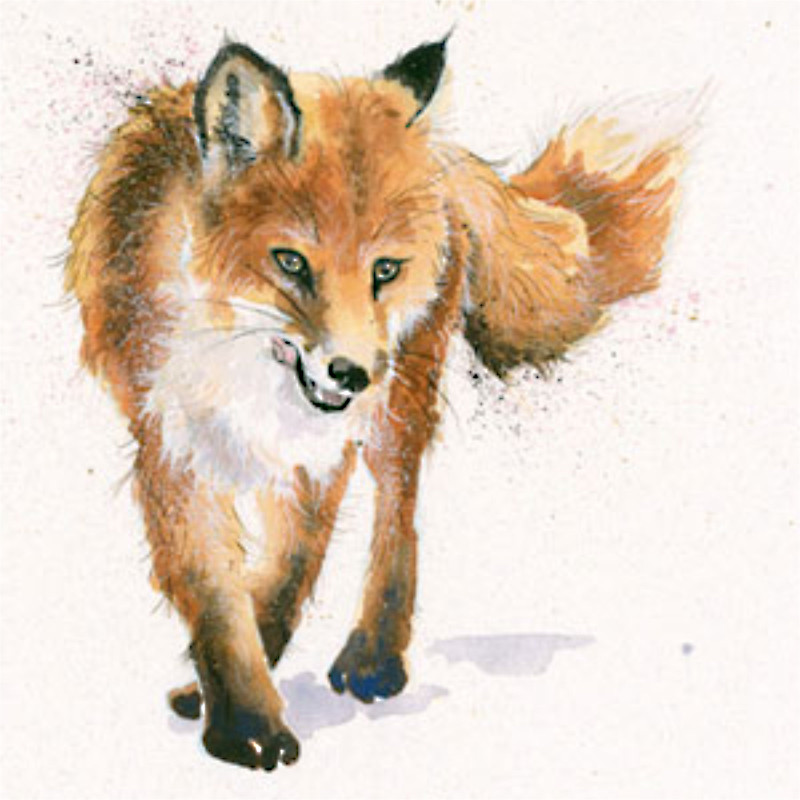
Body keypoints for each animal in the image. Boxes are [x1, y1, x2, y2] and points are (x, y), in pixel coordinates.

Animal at [65, 36, 690, 771]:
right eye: (291, 262)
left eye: (384, 271)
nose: (352, 372)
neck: (238, 354)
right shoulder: (169, 436)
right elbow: (218, 590)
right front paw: (245, 711)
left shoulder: (316, 444)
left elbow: (294, 561)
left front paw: (245, 707)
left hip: (403, 397)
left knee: (398, 513)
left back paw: (375, 656)